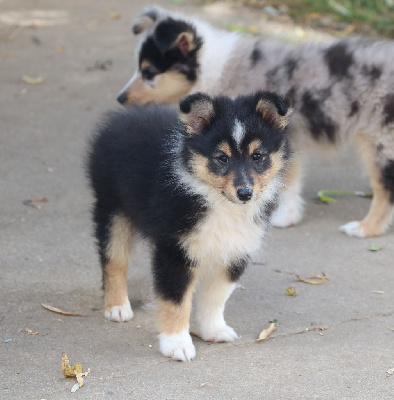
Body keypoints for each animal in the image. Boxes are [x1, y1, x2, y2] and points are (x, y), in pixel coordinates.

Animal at [87, 90, 292, 360]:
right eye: (222, 158)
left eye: (257, 156)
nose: (245, 193)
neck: (218, 201)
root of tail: (121, 119)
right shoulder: (175, 250)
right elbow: (176, 301)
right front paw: (176, 345)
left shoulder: (235, 250)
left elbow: (216, 297)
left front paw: (214, 330)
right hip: (112, 208)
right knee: (113, 260)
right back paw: (117, 307)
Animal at [118, 6, 394, 238]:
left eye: (149, 73)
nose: (120, 98)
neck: (215, 67)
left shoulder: (275, 139)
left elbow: (284, 179)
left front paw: (282, 217)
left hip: (381, 139)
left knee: (385, 188)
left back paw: (365, 228)